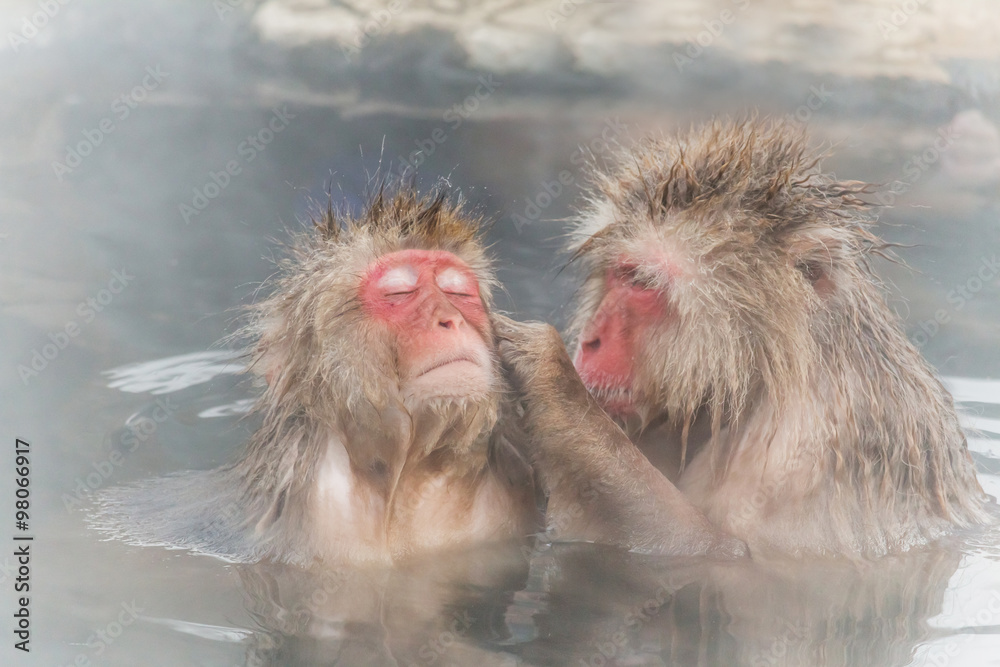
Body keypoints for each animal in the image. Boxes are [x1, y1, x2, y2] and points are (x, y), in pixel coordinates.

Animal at [93, 185, 747, 565]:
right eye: (400, 292)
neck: (416, 481)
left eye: (459, 291)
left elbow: (711, 549)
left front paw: (548, 374)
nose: (448, 318)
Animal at [544, 118, 991, 557]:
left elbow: (729, 550)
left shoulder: (804, 458)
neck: (780, 370)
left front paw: (553, 386)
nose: (590, 340)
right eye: (616, 274)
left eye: (640, 282)